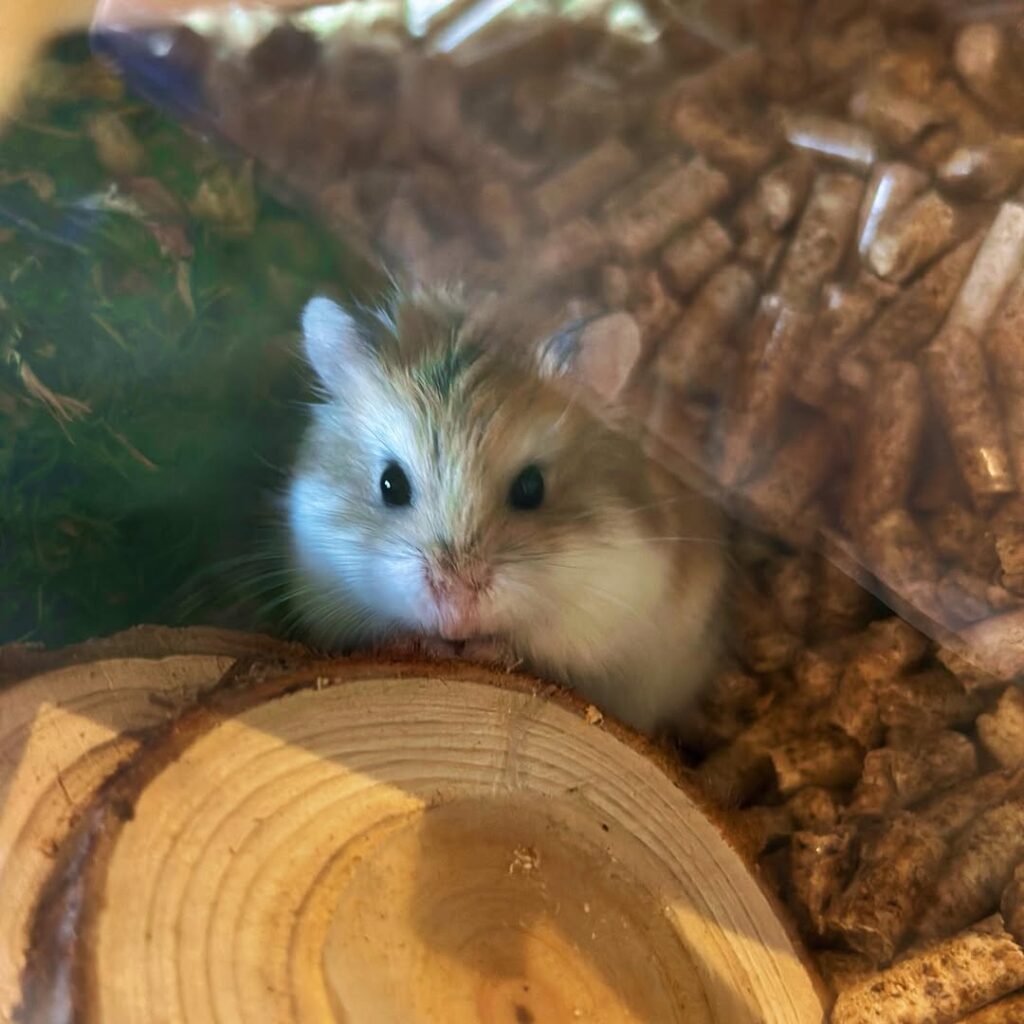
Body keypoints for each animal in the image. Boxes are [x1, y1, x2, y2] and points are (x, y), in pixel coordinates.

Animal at [286, 283, 728, 736]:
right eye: (390, 484)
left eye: (531, 489)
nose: (456, 617)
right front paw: (423, 643)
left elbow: (532, 647)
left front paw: (482, 648)